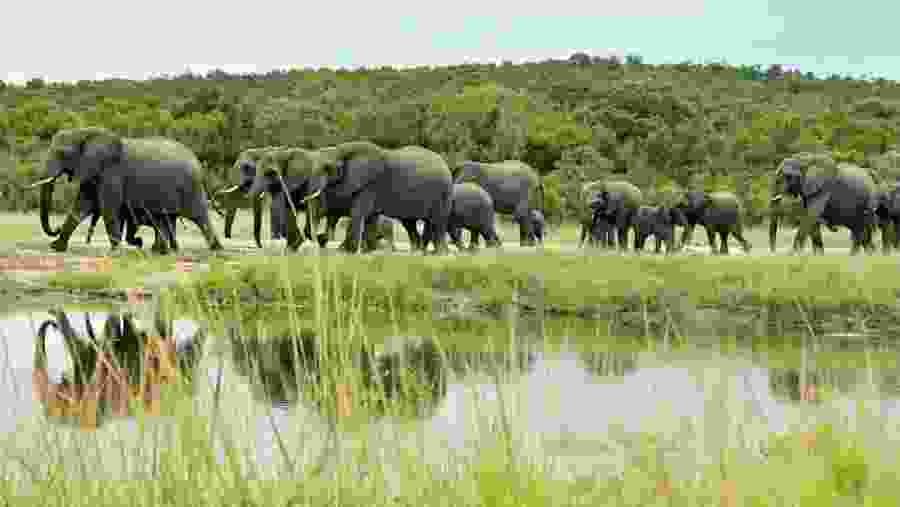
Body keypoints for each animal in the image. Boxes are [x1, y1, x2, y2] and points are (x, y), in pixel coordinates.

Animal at [33, 127, 223, 254]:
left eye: (62, 153)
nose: (56, 228)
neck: (87, 133)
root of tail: (198, 163)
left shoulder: (111, 172)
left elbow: (108, 208)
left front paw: (116, 251)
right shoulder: (93, 172)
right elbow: (81, 207)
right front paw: (56, 247)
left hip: (191, 187)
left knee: (199, 216)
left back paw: (216, 249)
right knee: (167, 218)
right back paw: (162, 251)